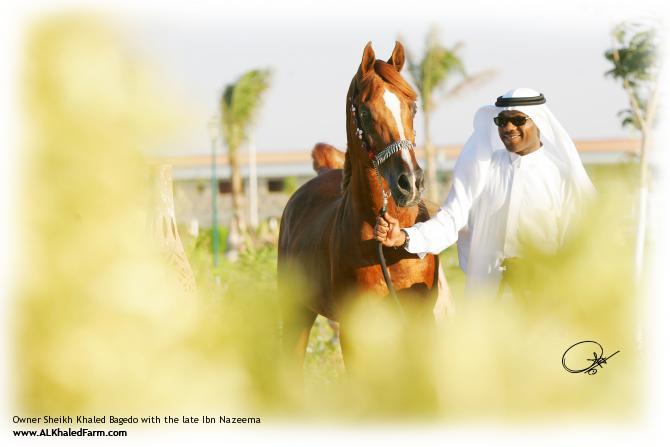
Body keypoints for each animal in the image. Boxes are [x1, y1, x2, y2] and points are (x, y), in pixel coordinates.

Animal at [278, 40, 440, 366]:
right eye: (364, 113)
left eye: (413, 107)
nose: (410, 182)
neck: (390, 252)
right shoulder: (355, 332)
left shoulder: (418, 323)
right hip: (297, 311)